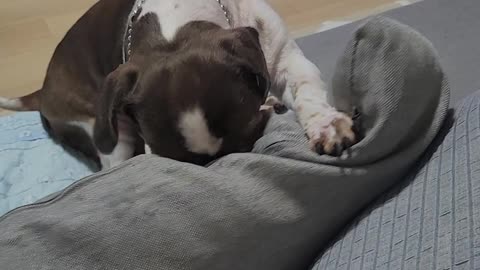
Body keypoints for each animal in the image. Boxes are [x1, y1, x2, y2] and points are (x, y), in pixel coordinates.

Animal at [0, 0, 356, 169]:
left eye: (248, 135)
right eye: (173, 158)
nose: (217, 163)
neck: (175, 24)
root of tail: (42, 90)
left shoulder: (283, 58)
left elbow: (305, 89)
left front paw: (326, 125)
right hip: (103, 130)